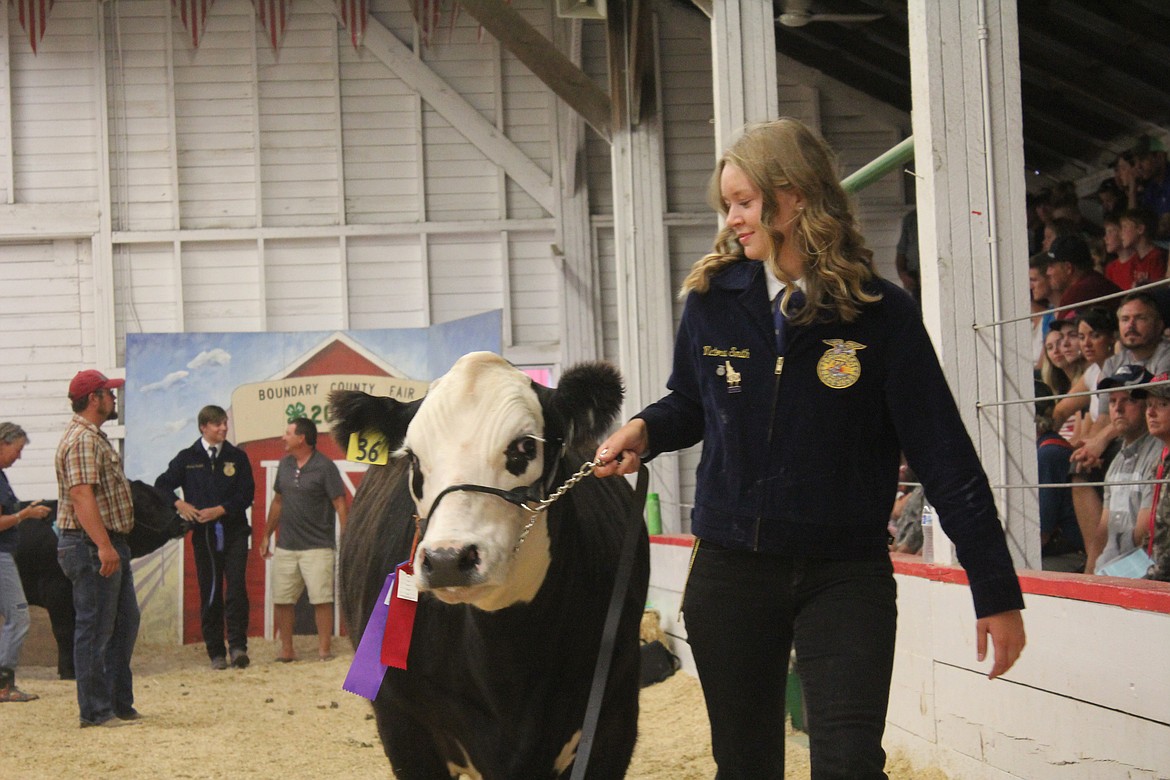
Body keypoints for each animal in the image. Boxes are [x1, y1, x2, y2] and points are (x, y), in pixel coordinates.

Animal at [14, 479, 189, 678]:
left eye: (165, 501)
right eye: (147, 504)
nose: (183, 524)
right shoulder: (56, 592)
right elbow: (64, 630)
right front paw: (68, 671)